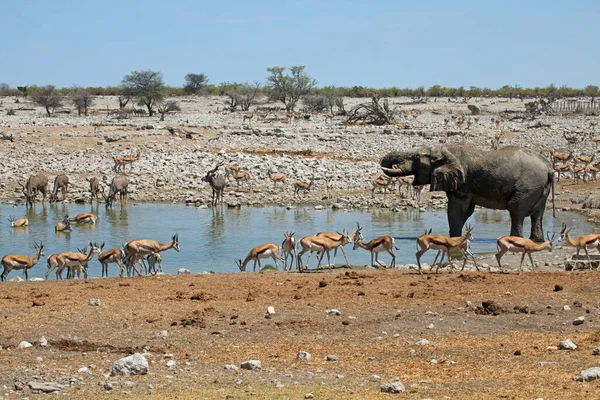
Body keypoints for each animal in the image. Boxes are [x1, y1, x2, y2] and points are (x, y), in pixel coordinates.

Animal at [382, 145, 556, 242]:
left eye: (416, 158)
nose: (395, 164)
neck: (447, 151)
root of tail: (549, 167)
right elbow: (466, 212)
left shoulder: (462, 184)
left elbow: (456, 210)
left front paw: (453, 239)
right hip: (539, 187)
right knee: (538, 213)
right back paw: (536, 240)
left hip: (529, 184)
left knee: (516, 209)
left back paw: (515, 239)